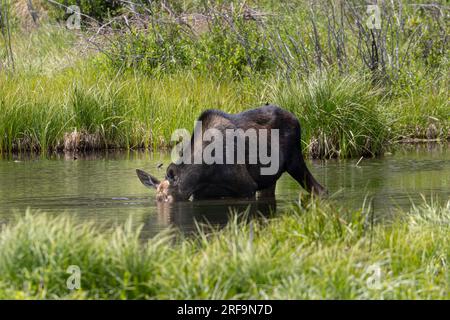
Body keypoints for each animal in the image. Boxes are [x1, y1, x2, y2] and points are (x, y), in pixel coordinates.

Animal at [135, 104, 326, 201]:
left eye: (167, 198)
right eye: (157, 198)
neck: (203, 175)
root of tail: (297, 118)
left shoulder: (247, 187)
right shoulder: (202, 194)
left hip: (295, 161)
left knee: (320, 189)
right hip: (269, 179)